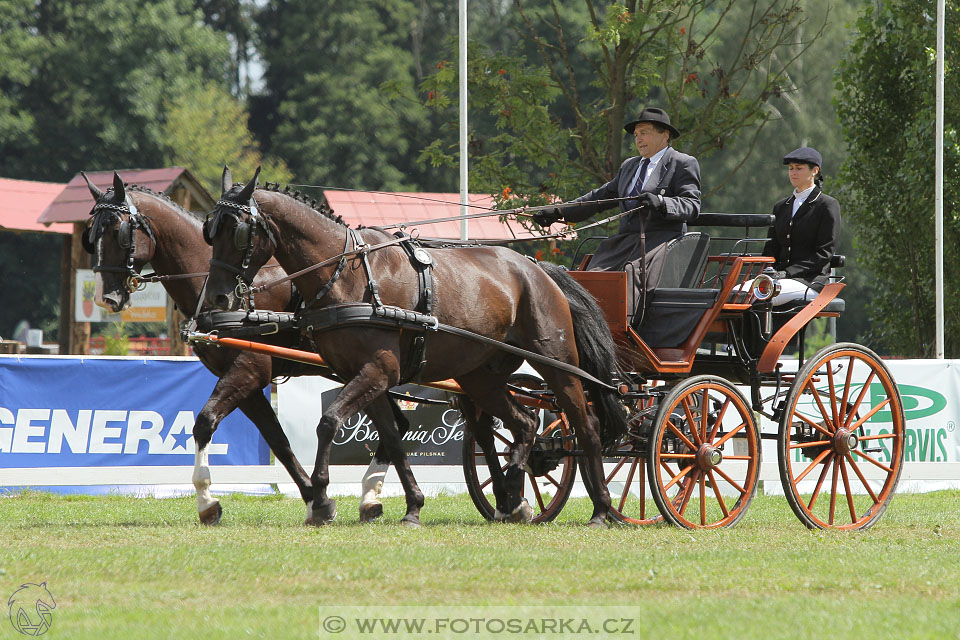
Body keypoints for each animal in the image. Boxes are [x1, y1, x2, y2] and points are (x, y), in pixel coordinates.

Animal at [81, 171, 390, 524]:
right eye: (91, 235)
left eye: (118, 232)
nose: (105, 297)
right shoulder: (246, 383)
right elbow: (278, 441)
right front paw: (315, 499)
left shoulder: (248, 371)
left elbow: (204, 423)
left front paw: (206, 500)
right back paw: (371, 497)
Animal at [201, 168, 632, 528]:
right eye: (209, 231)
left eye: (237, 231)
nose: (218, 298)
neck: (348, 277)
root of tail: (540, 269)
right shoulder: (364, 375)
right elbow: (392, 439)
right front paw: (411, 506)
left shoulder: (378, 370)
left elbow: (328, 423)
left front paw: (322, 501)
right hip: (479, 378)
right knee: (524, 423)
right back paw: (513, 499)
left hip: (557, 364)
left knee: (586, 426)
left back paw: (600, 509)